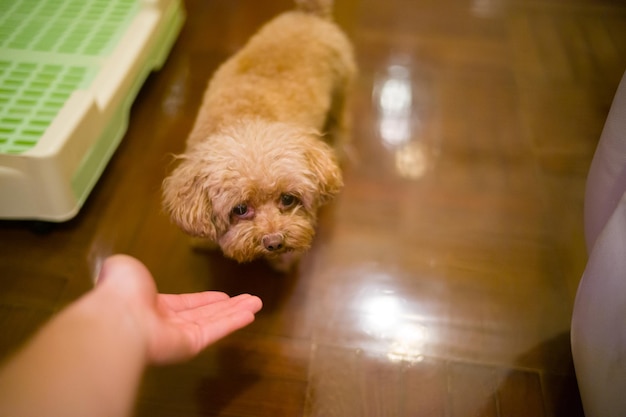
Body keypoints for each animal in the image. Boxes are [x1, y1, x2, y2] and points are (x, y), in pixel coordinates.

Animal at [161, 0, 356, 270]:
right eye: (240, 209)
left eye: (288, 199)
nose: (274, 242)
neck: (246, 118)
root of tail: (309, 14)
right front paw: (204, 242)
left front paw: (283, 263)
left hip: (340, 92)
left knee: (340, 125)